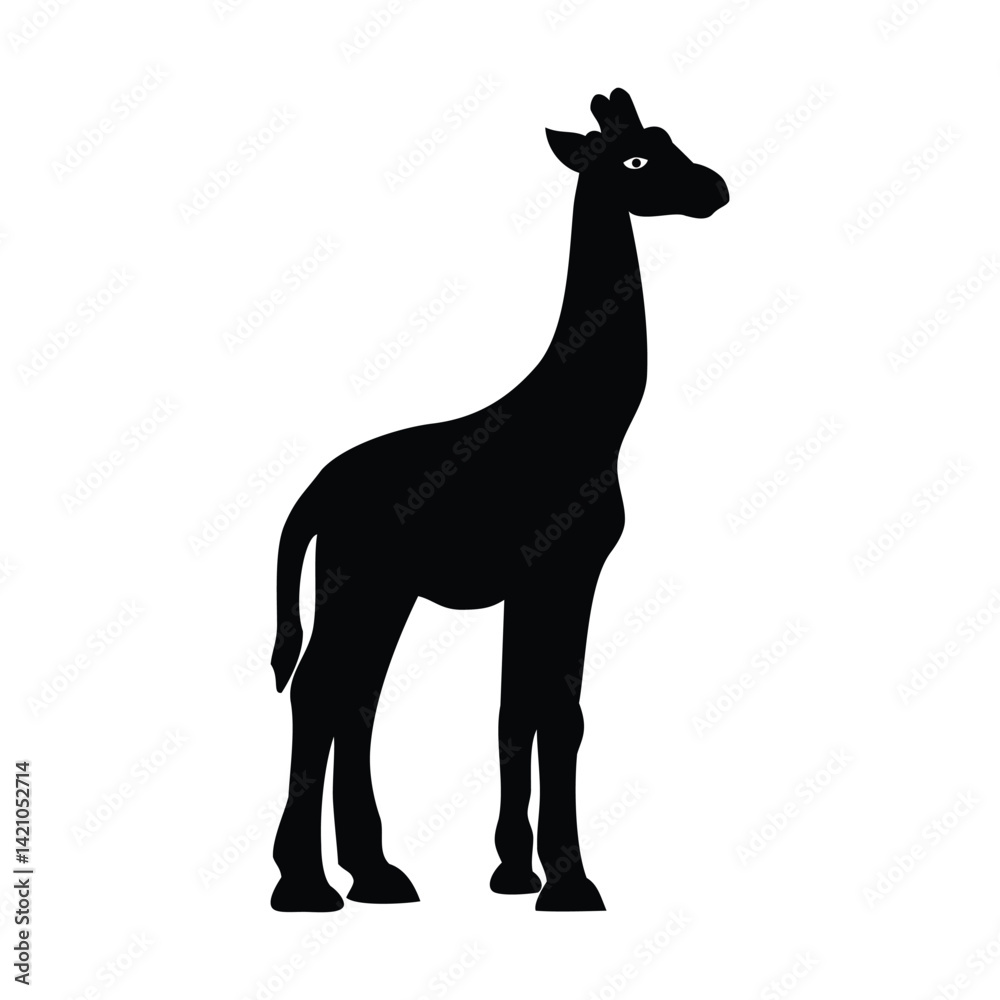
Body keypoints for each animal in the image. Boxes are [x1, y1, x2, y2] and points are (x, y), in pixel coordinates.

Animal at [268, 88, 728, 912]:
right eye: (637, 160)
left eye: (673, 142)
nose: (716, 188)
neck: (589, 423)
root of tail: (313, 493)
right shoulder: (563, 572)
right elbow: (559, 715)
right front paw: (571, 884)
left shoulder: (539, 582)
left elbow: (520, 713)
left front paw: (517, 872)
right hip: (365, 582)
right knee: (320, 690)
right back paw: (304, 886)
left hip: (378, 588)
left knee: (354, 699)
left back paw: (376, 875)